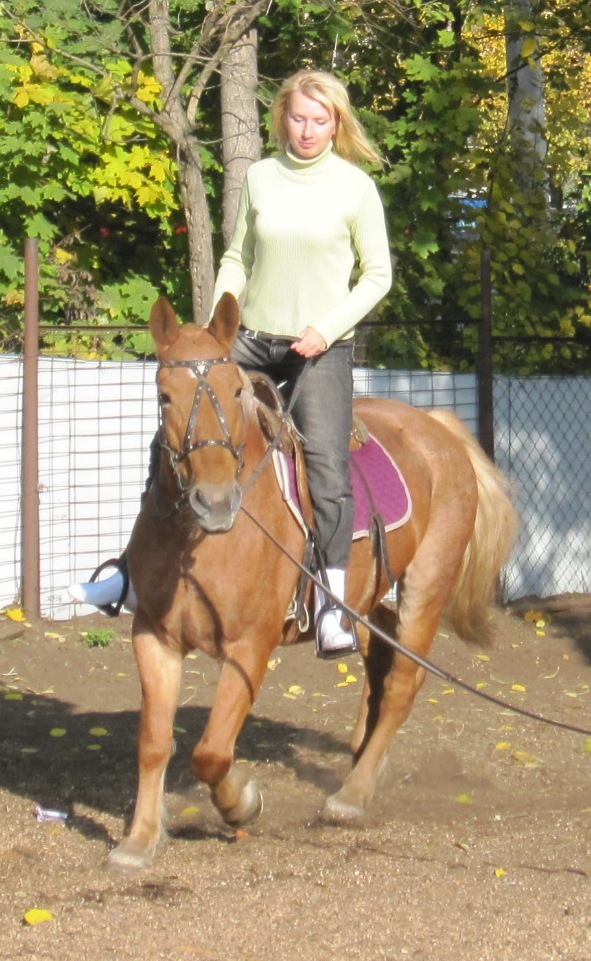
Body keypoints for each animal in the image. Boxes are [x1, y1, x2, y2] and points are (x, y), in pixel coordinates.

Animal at [107, 293, 517, 871]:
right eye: (165, 398)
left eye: (235, 391)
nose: (215, 501)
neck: (199, 542)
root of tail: (438, 428)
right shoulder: (153, 637)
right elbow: (154, 741)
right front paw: (139, 839)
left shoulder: (250, 647)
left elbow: (212, 752)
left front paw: (243, 804)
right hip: (369, 604)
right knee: (377, 674)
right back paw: (363, 765)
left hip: (427, 589)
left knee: (400, 687)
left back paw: (352, 795)